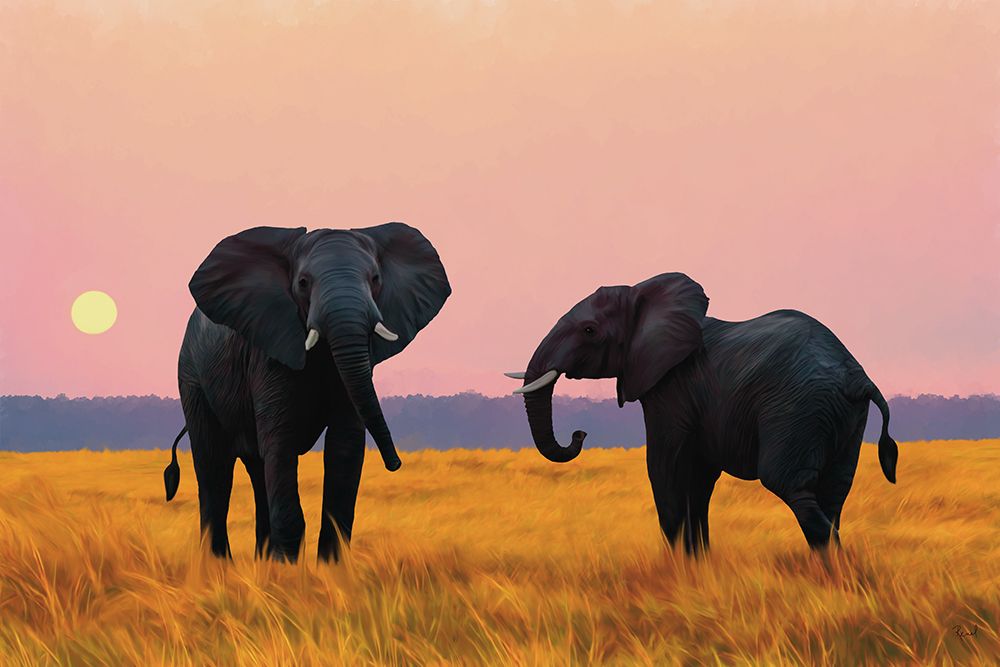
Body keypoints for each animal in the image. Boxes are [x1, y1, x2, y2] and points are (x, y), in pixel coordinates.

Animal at [162, 223, 450, 562]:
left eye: (376, 279)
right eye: (302, 283)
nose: (395, 463)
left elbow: (345, 446)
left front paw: (329, 568)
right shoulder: (268, 352)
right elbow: (281, 443)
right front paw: (288, 570)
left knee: (257, 470)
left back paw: (262, 561)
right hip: (192, 377)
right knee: (214, 467)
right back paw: (219, 566)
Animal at [506, 272, 898, 553]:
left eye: (589, 330)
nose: (579, 434)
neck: (643, 294)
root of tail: (857, 377)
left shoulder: (672, 387)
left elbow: (665, 467)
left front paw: (679, 569)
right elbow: (698, 479)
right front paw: (699, 565)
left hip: (797, 408)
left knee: (789, 485)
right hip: (843, 419)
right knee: (834, 492)